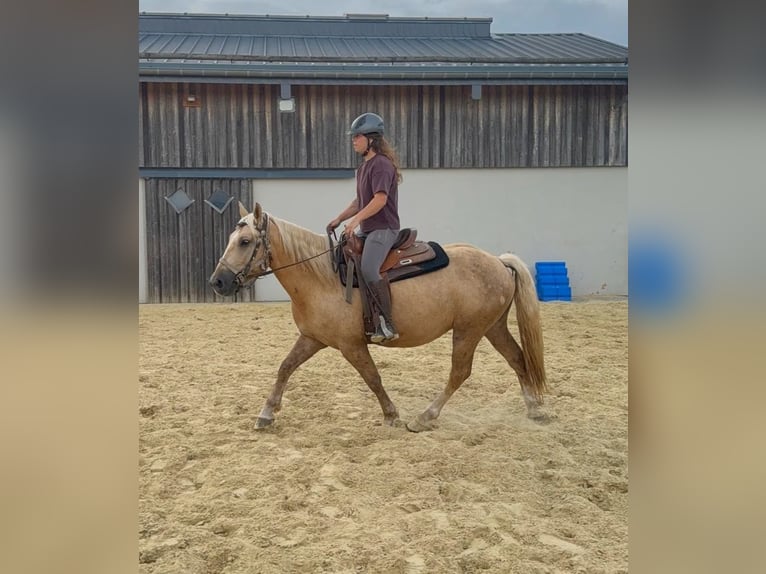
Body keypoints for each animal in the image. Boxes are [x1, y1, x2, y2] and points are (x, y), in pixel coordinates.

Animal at [209, 201, 548, 432]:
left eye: (245, 242)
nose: (218, 282)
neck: (322, 277)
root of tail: (498, 261)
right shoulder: (312, 338)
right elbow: (285, 367)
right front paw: (266, 413)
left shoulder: (352, 345)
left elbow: (372, 377)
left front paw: (391, 414)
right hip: (492, 327)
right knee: (517, 358)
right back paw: (533, 409)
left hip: (469, 331)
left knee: (460, 372)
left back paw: (425, 417)